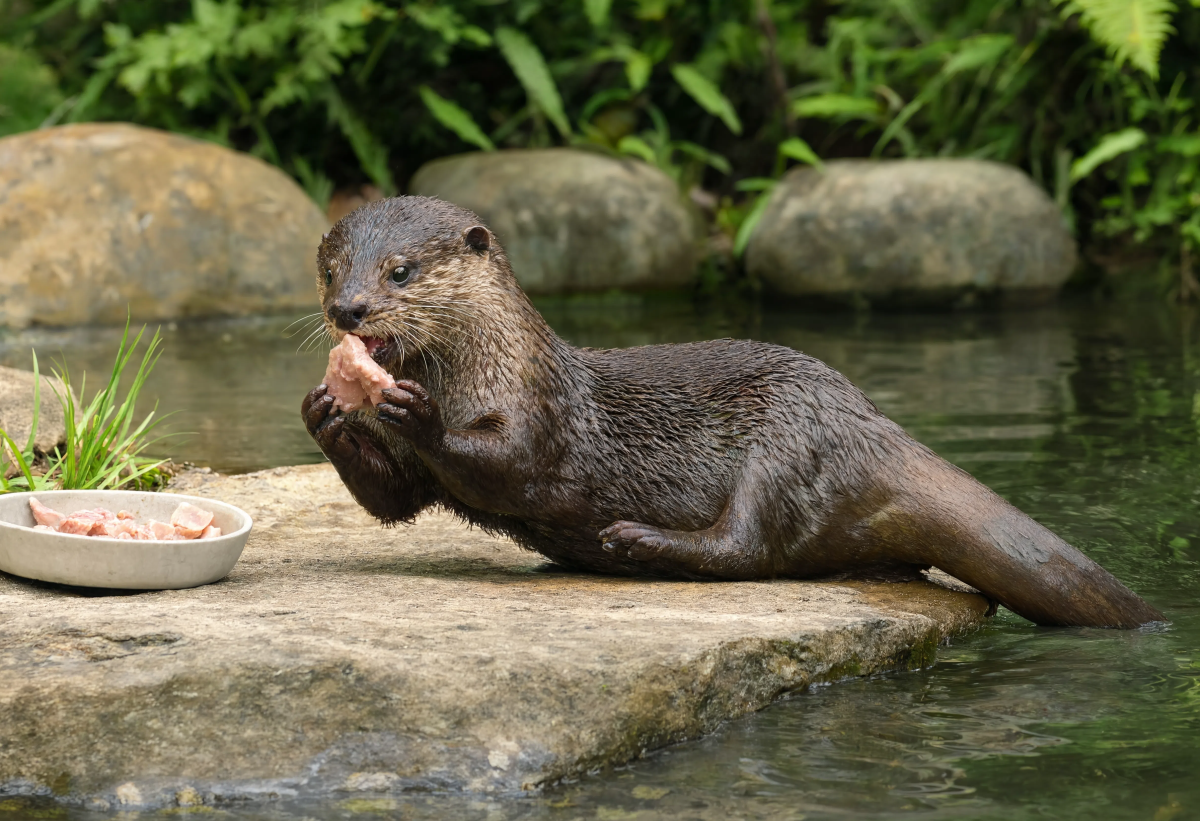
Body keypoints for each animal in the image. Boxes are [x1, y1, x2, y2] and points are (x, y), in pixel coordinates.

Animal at [301, 196, 1163, 629]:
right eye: (332, 266)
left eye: (401, 269)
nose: (349, 309)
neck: (484, 367)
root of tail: (874, 427)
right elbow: (395, 498)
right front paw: (324, 411)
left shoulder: (539, 413)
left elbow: (511, 465)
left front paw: (410, 409)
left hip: (789, 444)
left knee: (750, 548)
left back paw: (638, 541)